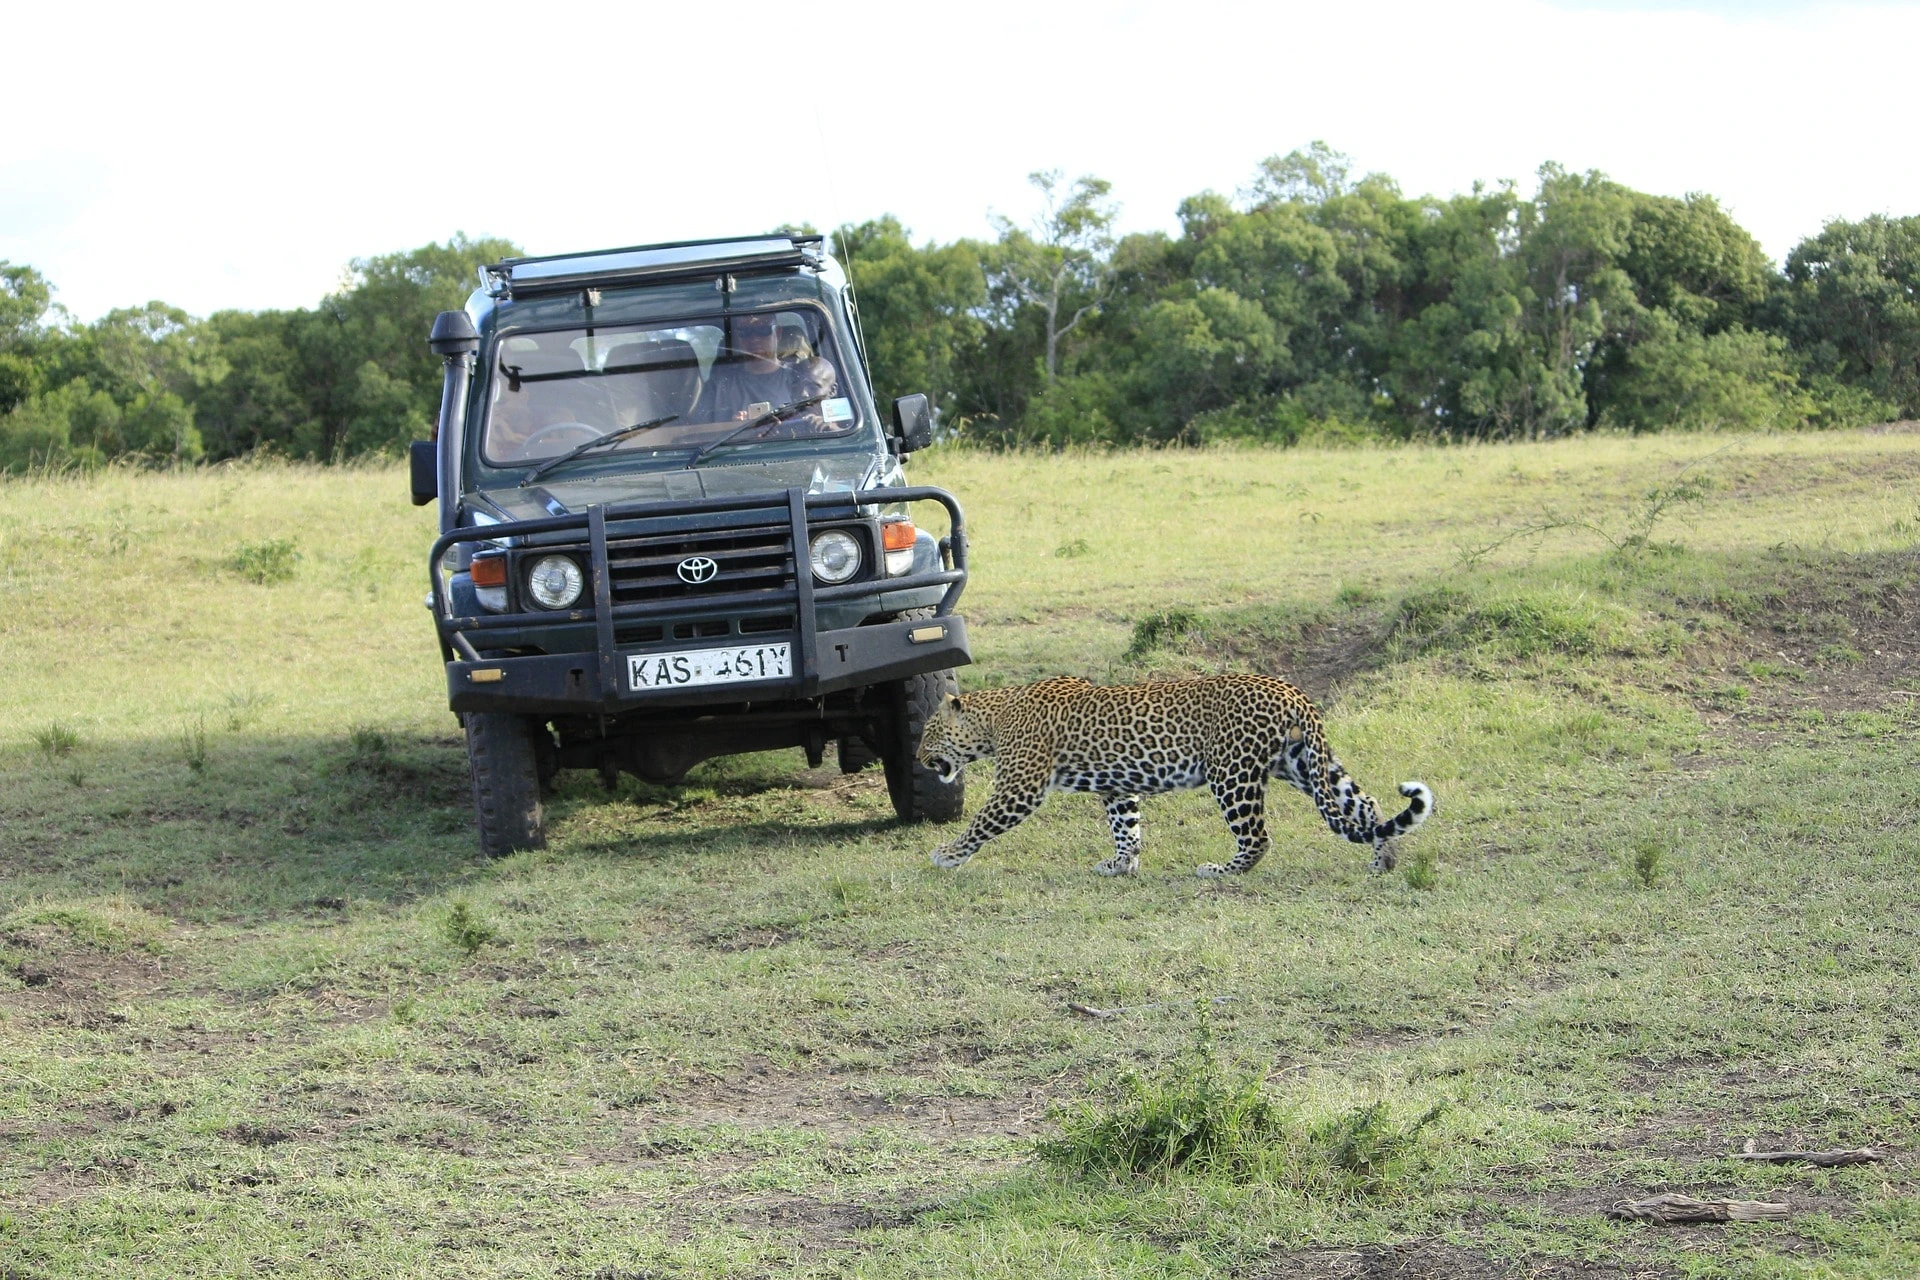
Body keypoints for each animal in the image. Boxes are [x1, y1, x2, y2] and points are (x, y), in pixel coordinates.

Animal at [921, 675, 1436, 875]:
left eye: (928, 734)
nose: (921, 760)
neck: (994, 718)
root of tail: (1288, 688)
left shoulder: (1020, 787)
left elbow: (982, 822)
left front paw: (947, 855)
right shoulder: (1117, 786)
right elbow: (1126, 827)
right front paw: (1121, 865)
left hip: (1232, 772)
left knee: (1257, 837)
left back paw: (1220, 870)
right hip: (1303, 763)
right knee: (1366, 805)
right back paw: (1382, 862)